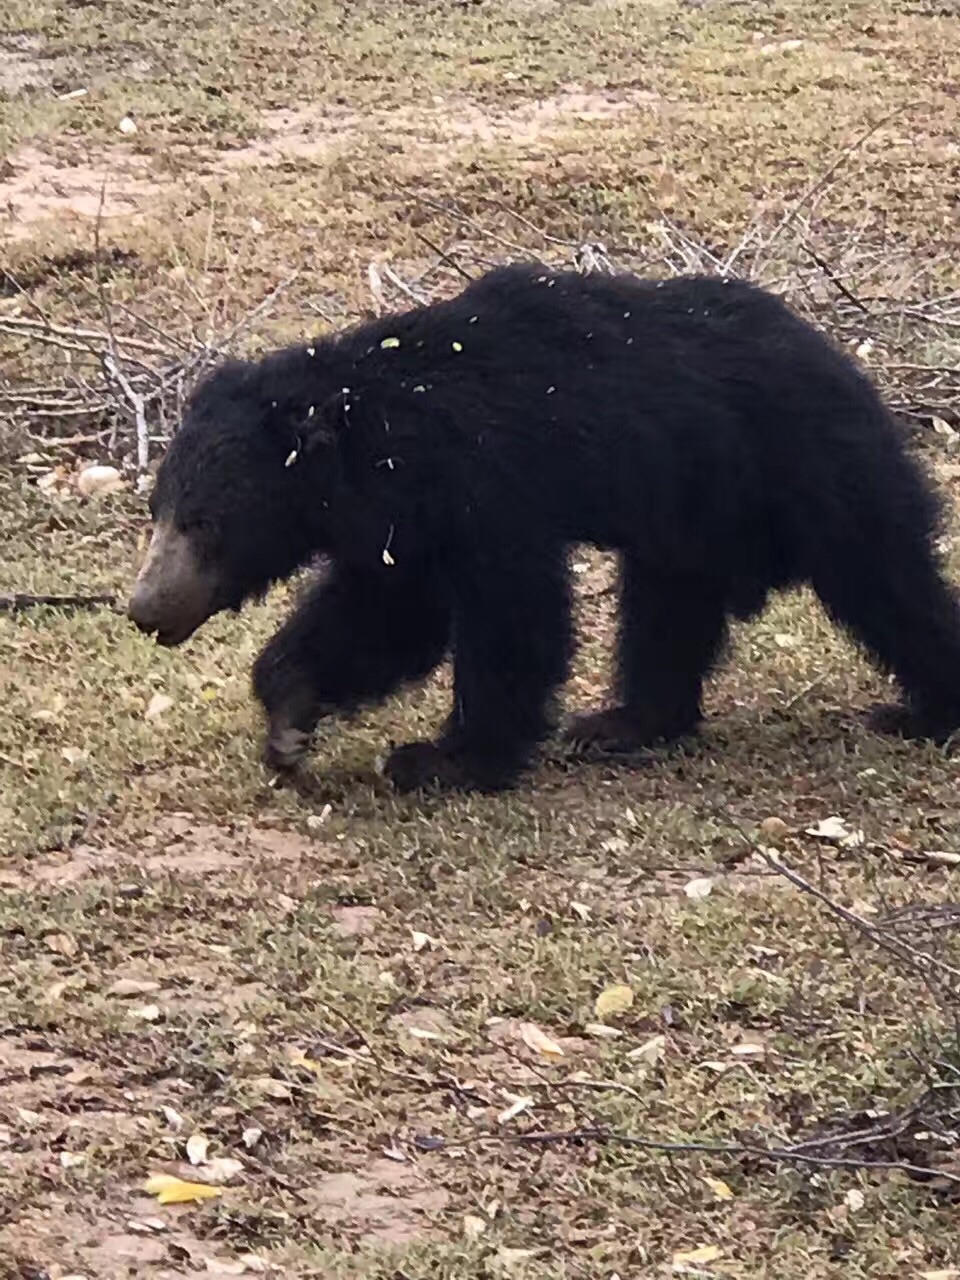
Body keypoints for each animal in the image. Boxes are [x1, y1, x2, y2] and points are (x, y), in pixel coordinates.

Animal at [128, 262, 960, 788]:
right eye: (156, 511)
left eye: (203, 523)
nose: (143, 610)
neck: (382, 431)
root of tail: (838, 356)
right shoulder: (406, 525)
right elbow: (384, 616)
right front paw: (290, 723)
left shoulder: (488, 486)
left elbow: (510, 615)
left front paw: (442, 760)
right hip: (692, 515)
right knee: (667, 612)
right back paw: (626, 722)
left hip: (807, 463)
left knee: (886, 578)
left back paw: (925, 709)